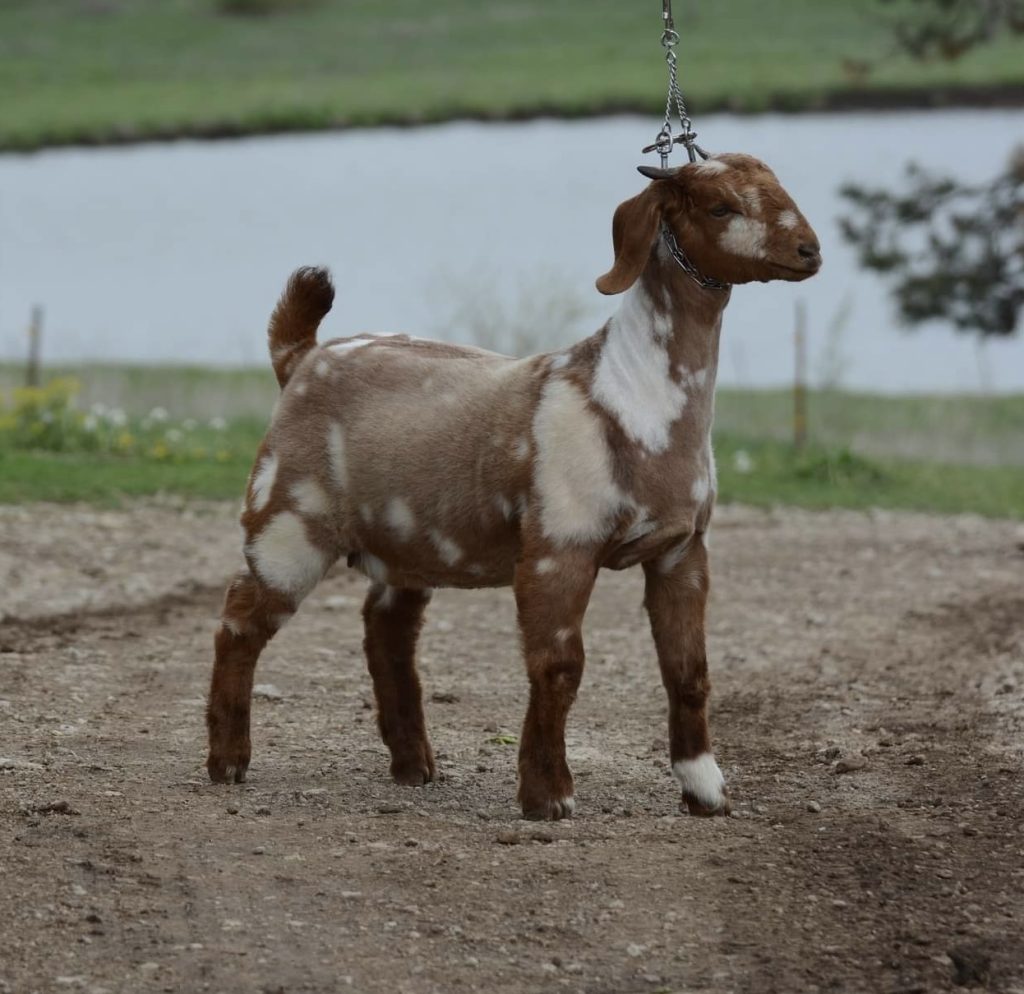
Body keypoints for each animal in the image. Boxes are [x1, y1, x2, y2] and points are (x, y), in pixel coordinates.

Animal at [203, 151, 819, 818]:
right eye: (720, 207)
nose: (810, 250)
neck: (632, 393)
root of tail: (301, 357)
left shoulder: (683, 548)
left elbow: (688, 670)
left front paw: (704, 788)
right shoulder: (559, 546)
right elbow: (559, 666)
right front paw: (547, 794)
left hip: (406, 539)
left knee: (386, 631)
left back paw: (414, 765)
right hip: (289, 517)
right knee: (240, 618)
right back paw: (228, 761)